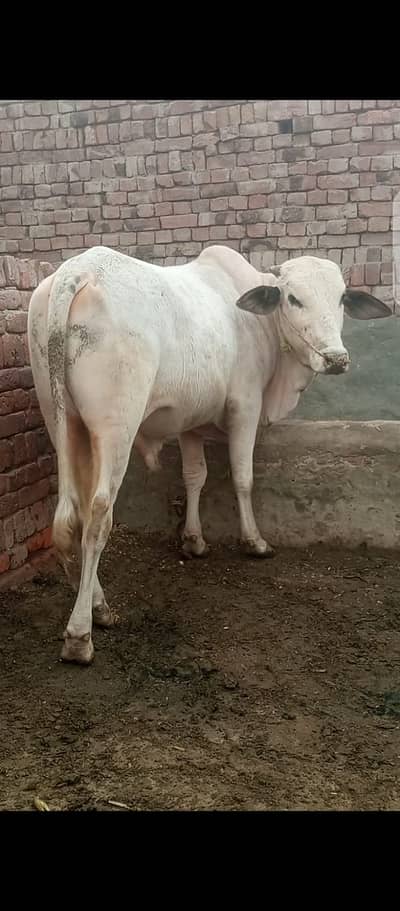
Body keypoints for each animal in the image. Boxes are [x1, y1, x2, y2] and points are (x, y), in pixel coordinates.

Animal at [28, 244, 392, 664]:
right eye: (293, 298)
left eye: (342, 298)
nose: (336, 358)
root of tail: (78, 271)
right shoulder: (245, 406)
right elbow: (243, 477)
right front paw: (255, 542)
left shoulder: (189, 422)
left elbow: (194, 477)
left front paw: (194, 539)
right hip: (115, 425)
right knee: (98, 515)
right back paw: (80, 633)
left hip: (65, 422)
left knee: (76, 512)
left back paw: (100, 607)